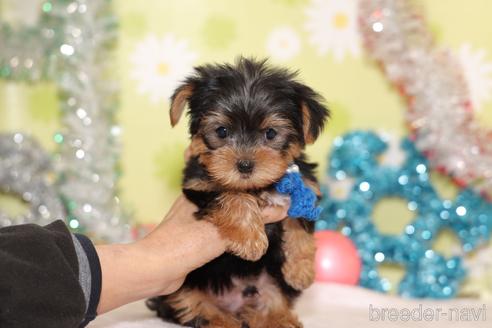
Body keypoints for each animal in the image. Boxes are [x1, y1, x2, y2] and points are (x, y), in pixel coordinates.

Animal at [147, 57, 330, 326]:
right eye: (221, 131)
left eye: (270, 133)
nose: (244, 165)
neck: (258, 186)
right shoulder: (200, 185)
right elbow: (233, 195)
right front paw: (250, 241)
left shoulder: (305, 186)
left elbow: (300, 223)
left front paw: (301, 270)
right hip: (184, 289)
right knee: (198, 308)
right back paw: (221, 319)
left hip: (267, 283)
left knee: (271, 300)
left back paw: (278, 318)